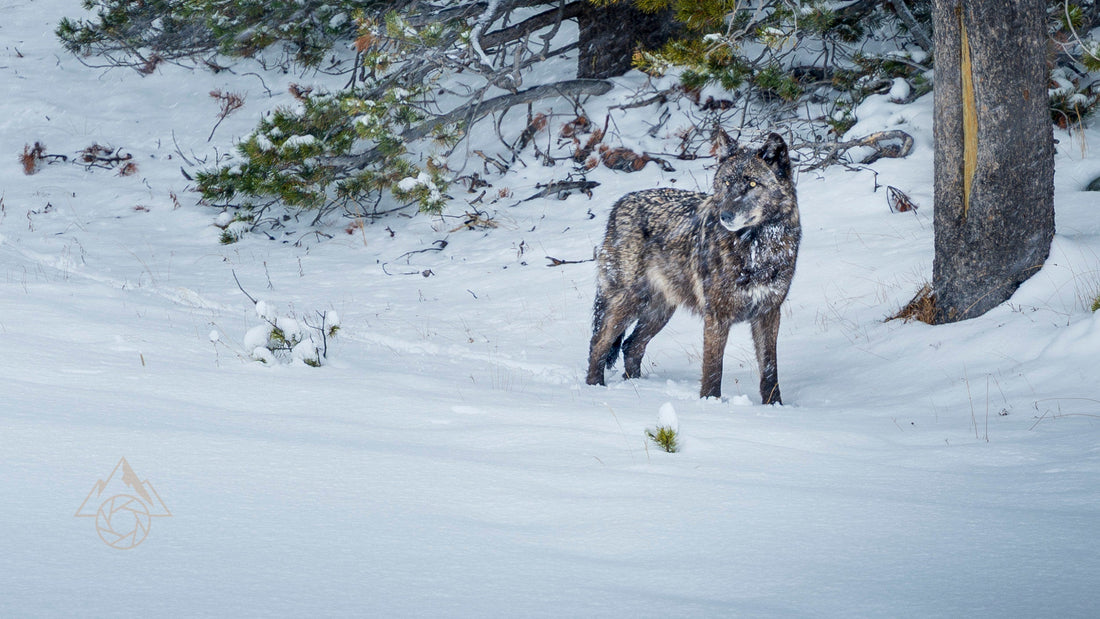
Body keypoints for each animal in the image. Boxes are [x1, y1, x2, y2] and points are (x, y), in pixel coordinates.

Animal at [585, 131, 801, 403]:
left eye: (752, 184)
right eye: (726, 183)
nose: (725, 216)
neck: (755, 249)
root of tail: (620, 204)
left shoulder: (769, 312)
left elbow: (770, 369)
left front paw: (774, 406)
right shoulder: (716, 316)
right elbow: (713, 368)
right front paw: (710, 403)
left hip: (659, 311)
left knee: (631, 346)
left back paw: (638, 389)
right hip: (628, 303)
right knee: (599, 342)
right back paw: (594, 389)